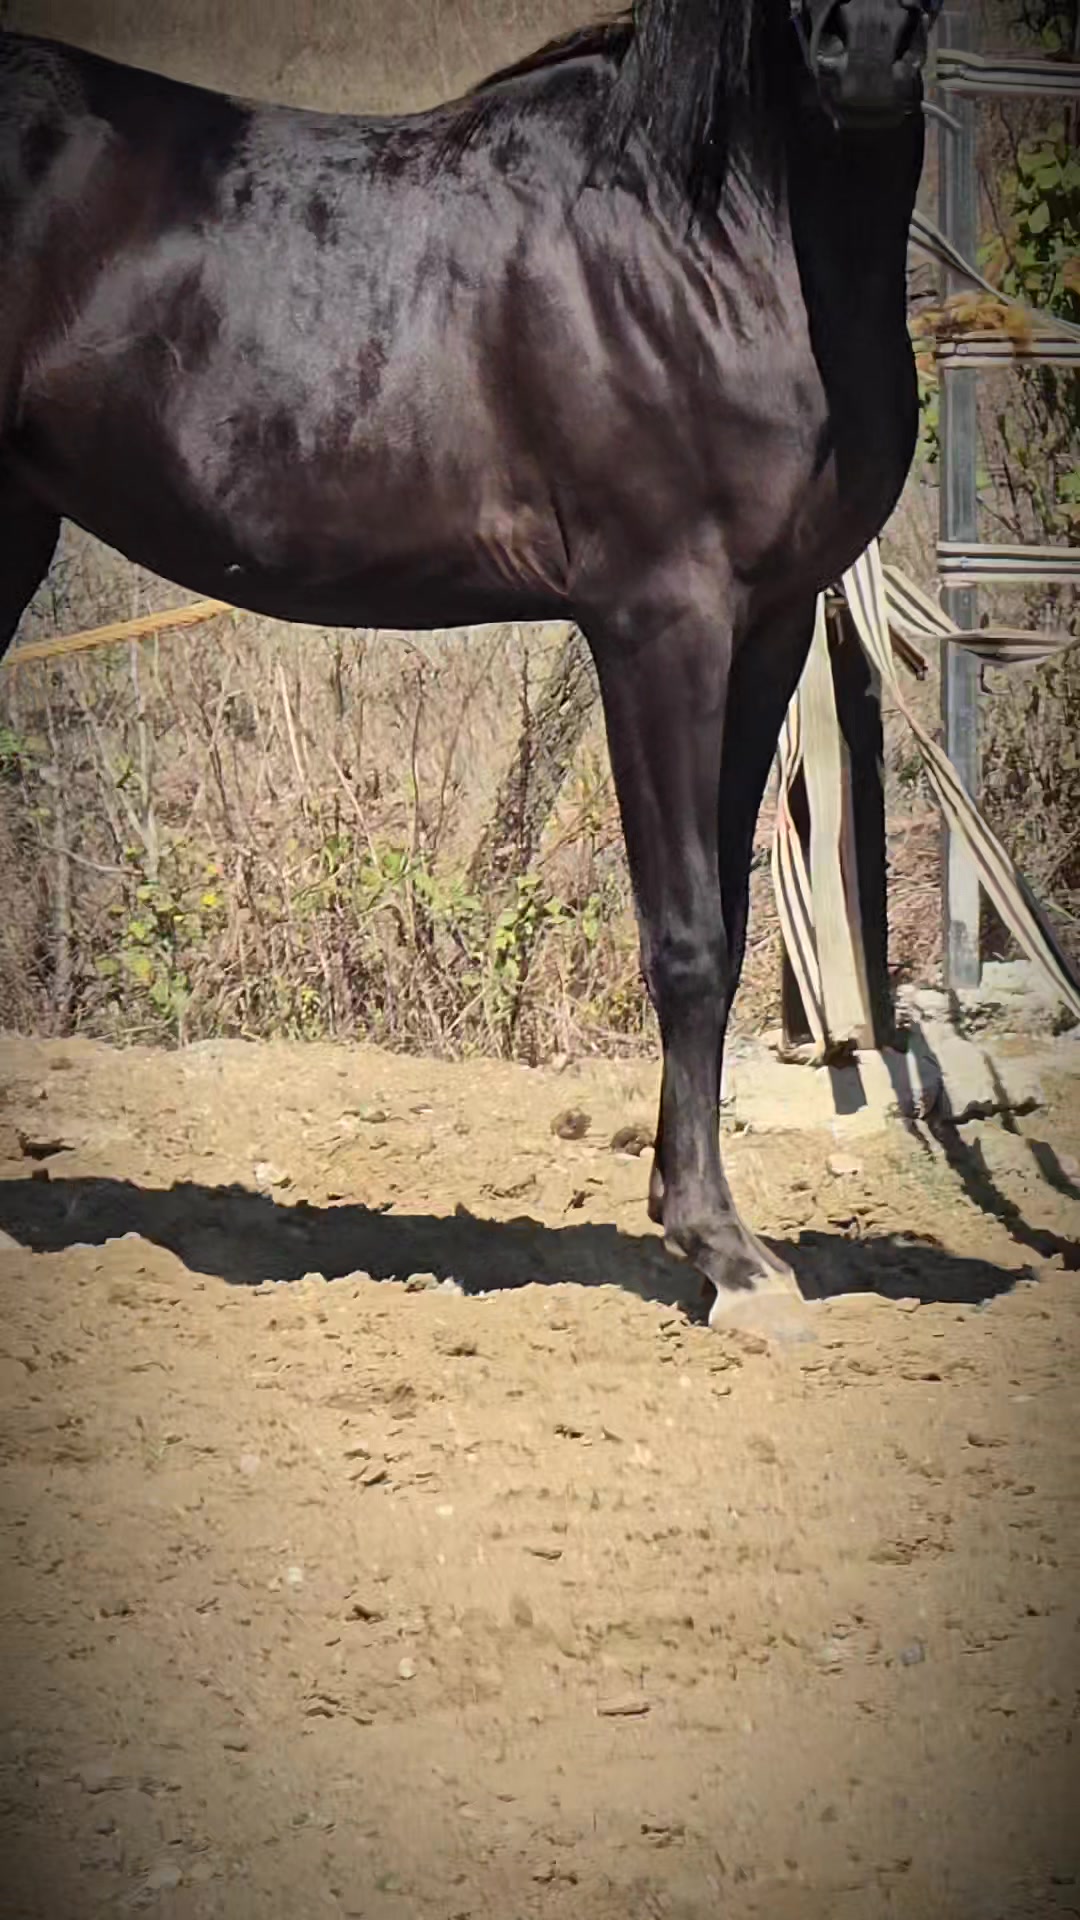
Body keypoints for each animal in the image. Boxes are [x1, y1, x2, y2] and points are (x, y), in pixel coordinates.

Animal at [0, 0, 940, 1334]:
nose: (864, 51)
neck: (702, 245)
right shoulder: (659, 619)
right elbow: (686, 940)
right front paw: (727, 1254)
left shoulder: (768, 627)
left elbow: (729, 920)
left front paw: (695, 1224)